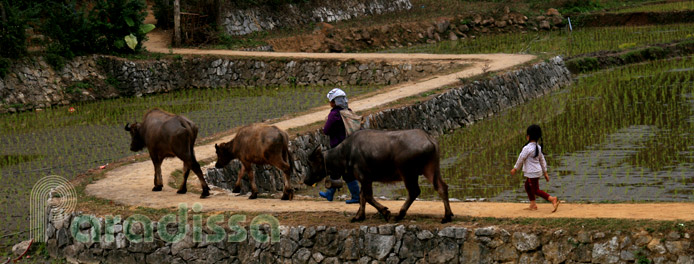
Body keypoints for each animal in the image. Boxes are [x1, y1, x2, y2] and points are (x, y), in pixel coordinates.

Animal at [306, 128, 456, 223]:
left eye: (310, 164)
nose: (305, 180)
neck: (345, 153)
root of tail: (429, 139)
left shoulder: (365, 177)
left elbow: (367, 196)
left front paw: (385, 212)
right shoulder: (364, 179)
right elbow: (362, 196)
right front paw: (358, 217)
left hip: (408, 173)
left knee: (414, 191)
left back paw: (399, 215)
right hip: (431, 169)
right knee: (442, 187)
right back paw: (447, 216)